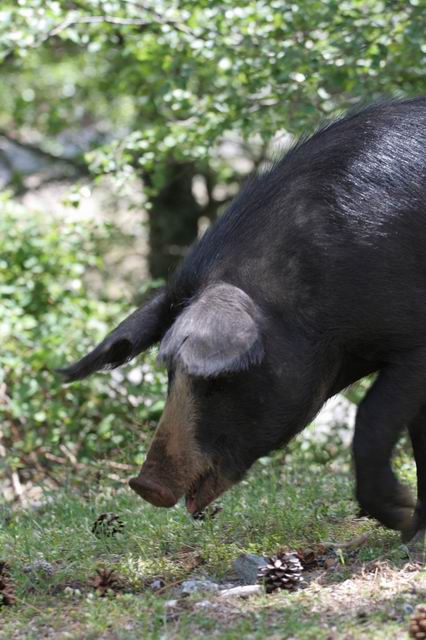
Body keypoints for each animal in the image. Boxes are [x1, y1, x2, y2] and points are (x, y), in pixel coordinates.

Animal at [60, 99, 426, 552]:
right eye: (170, 371)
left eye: (216, 379)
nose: (144, 485)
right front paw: (414, 533)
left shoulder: (415, 345)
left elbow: (371, 419)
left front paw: (402, 516)